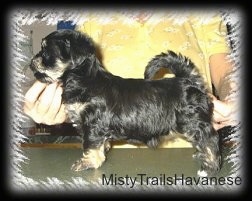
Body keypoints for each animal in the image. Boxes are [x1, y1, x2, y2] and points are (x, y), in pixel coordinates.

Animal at [30, 29, 221, 177]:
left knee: (209, 140)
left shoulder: (92, 125)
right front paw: (100, 155)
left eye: (46, 52)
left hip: (192, 121)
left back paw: (209, 167)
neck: (84, 79)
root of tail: (188, 80)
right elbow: (100, 145)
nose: (32, 61)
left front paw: (87, 162)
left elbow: (90, 146)